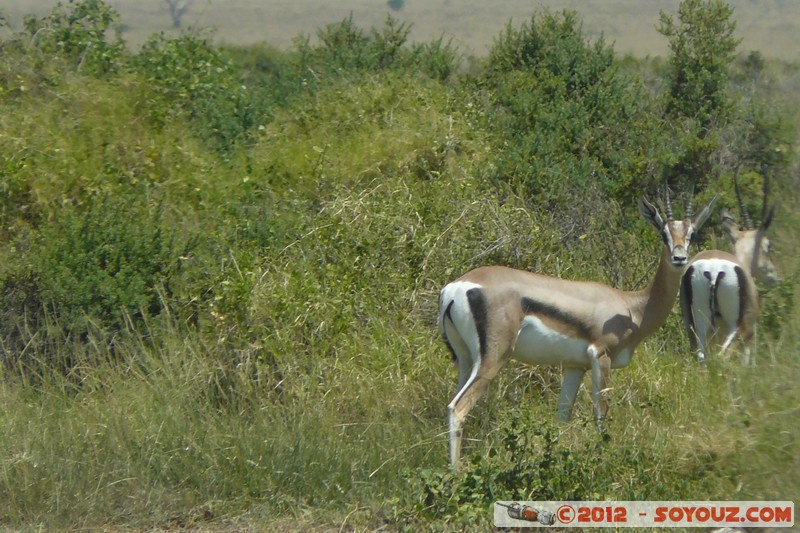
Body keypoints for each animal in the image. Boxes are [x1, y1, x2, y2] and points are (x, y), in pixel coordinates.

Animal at [438, 192, 717, 467]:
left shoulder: (575, 367)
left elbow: (562, 417)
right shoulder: (601, 356)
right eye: (663, 233)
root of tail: (457, 287)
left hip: (465, 361)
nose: (679, 258)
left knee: (452, 404)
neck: (633, 307)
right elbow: (601, 412)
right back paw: (456, 472)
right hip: (493, 359)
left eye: (691, 234)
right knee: (458, 408)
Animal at [680, 172, 778, 365]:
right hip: (734, 328)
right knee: (724, 355)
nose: (774, 276)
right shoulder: (748, 332)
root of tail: (713, 269)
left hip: (698, 327)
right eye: (768, 246)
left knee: (701, 358)